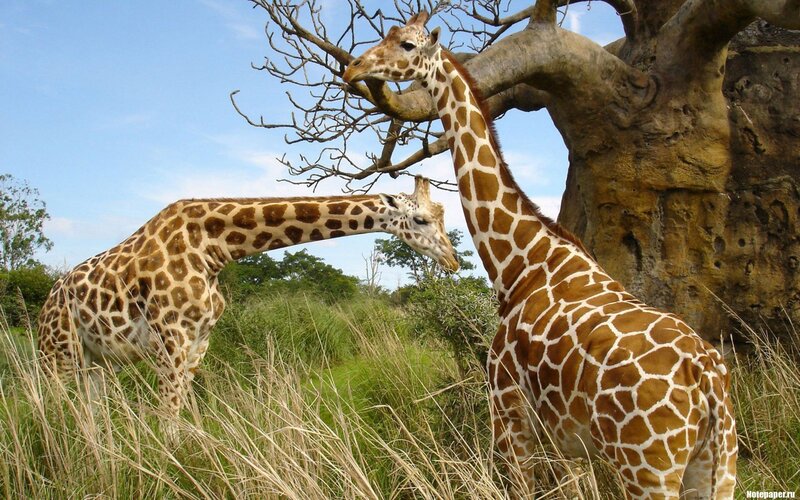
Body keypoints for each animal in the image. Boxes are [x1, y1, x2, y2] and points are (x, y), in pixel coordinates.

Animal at [37, 176, 458, 425]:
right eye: (421, 220)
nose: (453, 261)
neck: (213, 249)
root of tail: (46, 303)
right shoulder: (170, 338)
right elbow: (167, 417)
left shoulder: (199, 341)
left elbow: (181, 414)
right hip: (57, 356)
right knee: (53, 411)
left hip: (96, 361)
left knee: (91, 416)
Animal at [344, 13, 737, 499]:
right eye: (389, 35)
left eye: (407, 45)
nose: (354, 67)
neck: (520, 263)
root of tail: (709, 381)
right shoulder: (566, 439)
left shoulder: (508, 410)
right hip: (717, 465)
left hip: (648, 467)